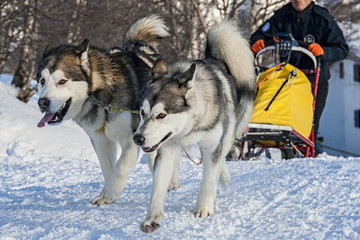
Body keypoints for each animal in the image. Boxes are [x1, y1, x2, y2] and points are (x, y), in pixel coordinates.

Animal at [36, 15, 170, 205]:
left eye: (62, 81)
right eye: (42, 81)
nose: (42, 103)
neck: (102, 95)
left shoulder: (130, 138)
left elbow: (121, 167)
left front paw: (110, 193)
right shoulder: (99, 140)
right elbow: (108, 169)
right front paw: (106, 195)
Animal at [133, 19, 256, 232]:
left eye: (162, 115)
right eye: (142, 112)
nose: (138, 138)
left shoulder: (213, 145)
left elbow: (208, 178)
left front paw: (204, 207)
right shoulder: (166, 149)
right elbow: (158, 186)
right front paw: (152, 218)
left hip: (227, 134)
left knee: (219, 160)